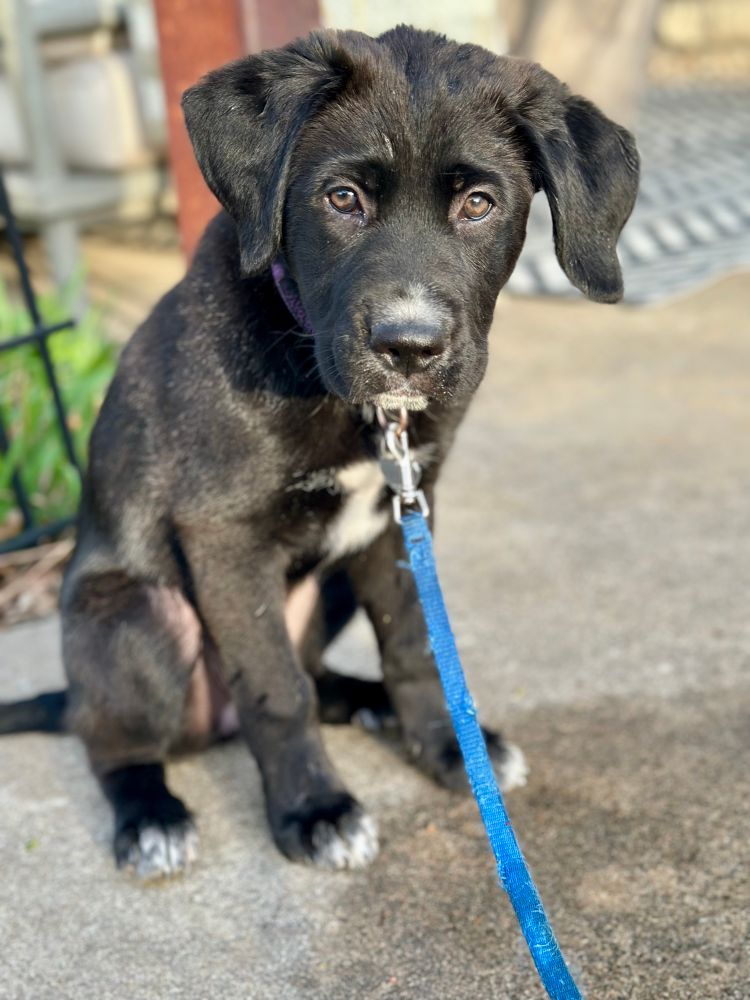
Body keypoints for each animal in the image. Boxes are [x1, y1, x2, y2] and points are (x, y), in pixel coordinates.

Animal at [0, 27, 636, 880]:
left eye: (479, 204)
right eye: (341, 199)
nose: (409, 348)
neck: (356, 405)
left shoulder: (406, 513)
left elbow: (414, 645)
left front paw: (446, 747)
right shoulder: (224, 536)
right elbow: (275, 691)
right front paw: (315, 809)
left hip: (332, 578)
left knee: (317, 671)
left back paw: (368, 704)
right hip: (135, 618)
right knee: (116, 743)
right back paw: (150, 815)